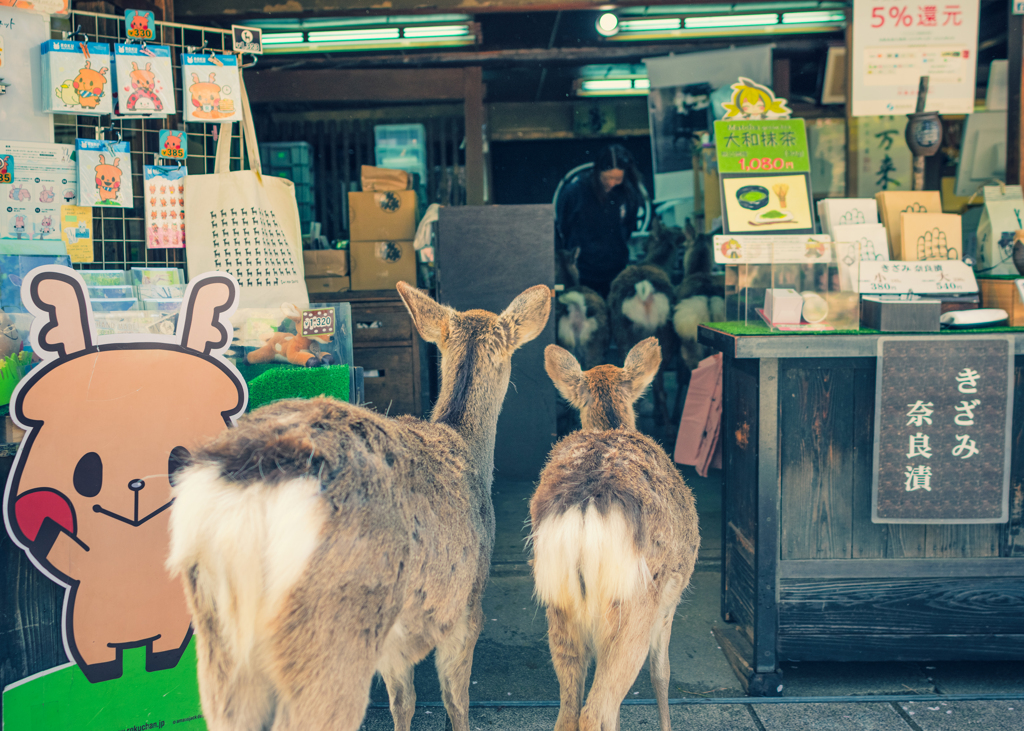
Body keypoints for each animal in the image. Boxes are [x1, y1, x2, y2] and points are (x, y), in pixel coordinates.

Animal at [167, 280, 552, 728]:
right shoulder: (466, 605)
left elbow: (403, 701)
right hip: (336, 628)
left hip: (216, 638)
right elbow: (456, 699)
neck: (464, 441)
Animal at [532, 337, 700, 728]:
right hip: (632, 601)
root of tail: (585, 509)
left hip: (558, 604)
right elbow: (661, 673)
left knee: (569, 712)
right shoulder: (669, 603)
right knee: (596, 710)